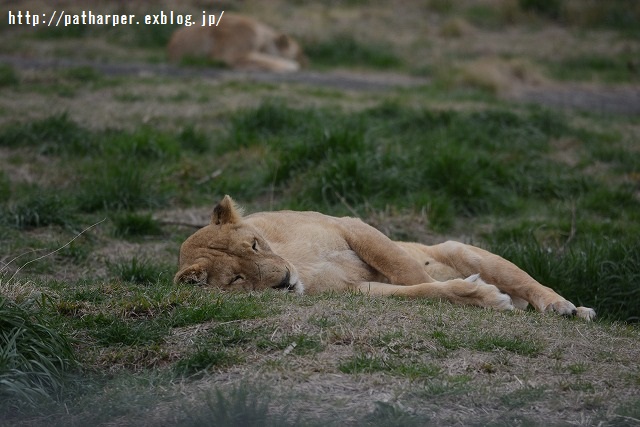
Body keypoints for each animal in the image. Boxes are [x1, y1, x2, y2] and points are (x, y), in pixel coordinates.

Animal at [174, 196, 596, 320]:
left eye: (254, 245)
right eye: (236, 279)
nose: (283, 281)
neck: (296, 262)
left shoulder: (352, 226)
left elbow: (405, 269)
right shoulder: (354, 290)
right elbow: (420, 290)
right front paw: (477, 295)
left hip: (463, 248)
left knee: (529, 282)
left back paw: (566, 307)